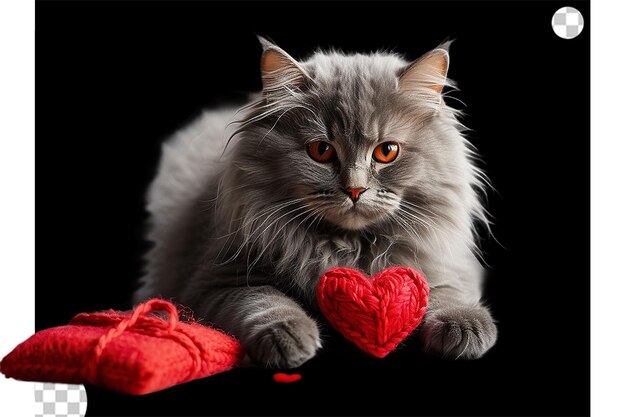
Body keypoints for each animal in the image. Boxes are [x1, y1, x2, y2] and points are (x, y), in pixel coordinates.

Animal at [133, 37, 498, 366]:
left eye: (387, 152)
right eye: (321, 151)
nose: (355, 189)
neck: (349, 247)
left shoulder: (446, 263)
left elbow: (447, 291)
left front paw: (465, 329)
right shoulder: (214, 282)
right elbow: (264, 301)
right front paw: (289, 339)